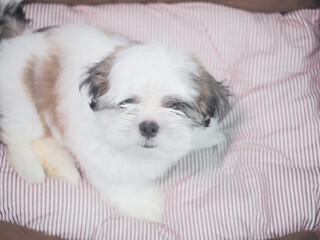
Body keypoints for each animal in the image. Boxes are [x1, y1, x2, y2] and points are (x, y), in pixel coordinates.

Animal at [0, 0, 230, 222]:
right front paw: (143, 203)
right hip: (21, 103)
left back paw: (63, 167)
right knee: (19, 138)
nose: (149, 126)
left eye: (174, 106)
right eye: (128, 102)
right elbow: (120, 182)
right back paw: (30, 167)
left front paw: (207, 135)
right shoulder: (104, 158)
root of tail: (19, 38)